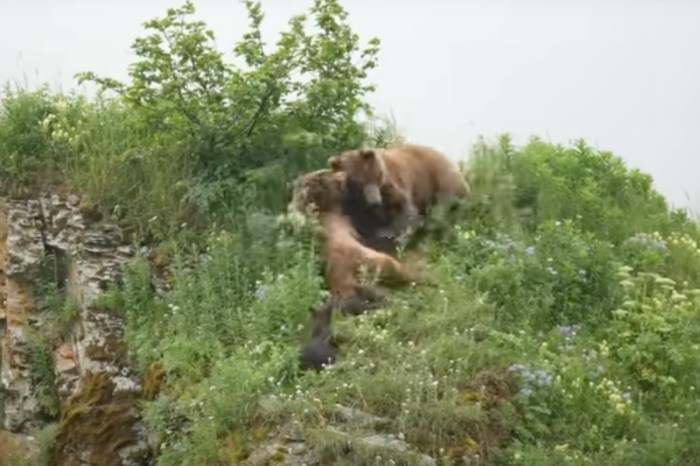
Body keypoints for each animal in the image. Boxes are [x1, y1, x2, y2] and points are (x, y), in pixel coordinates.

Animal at [328, 143, 471, 241]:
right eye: (360, 182)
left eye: (377, 177)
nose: (375, 202)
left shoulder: (392, 183)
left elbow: (403, 207)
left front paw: (398, 233)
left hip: (441, 180)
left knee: (444, 207)